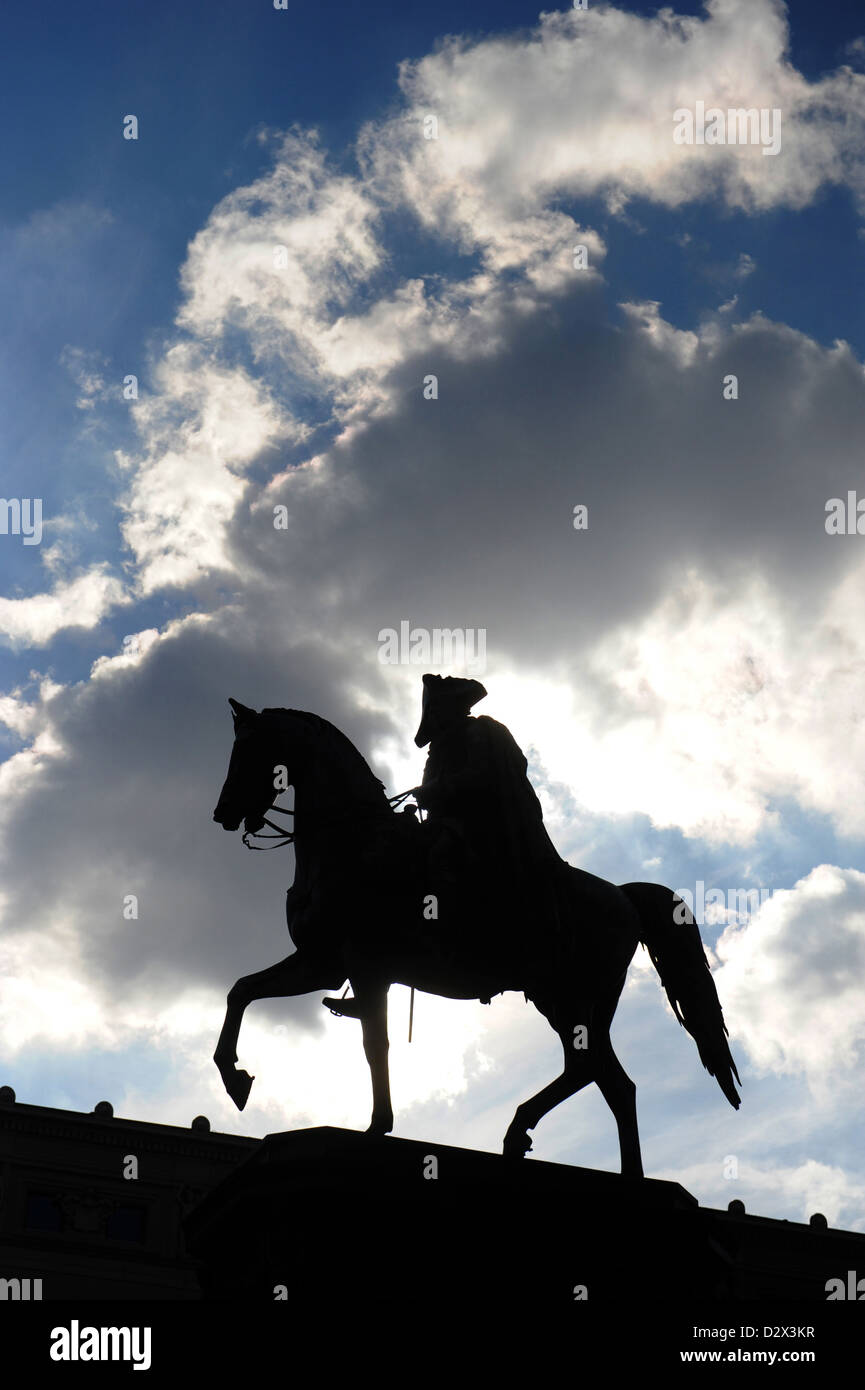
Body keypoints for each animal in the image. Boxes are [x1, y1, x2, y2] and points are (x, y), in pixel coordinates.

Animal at [209, 695, 739, 1173]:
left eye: (249, 750)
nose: (223, 814)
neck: (352, 842)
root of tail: (624, 897)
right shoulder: (321, 964)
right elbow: (241, 991)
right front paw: (235, 1079)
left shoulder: (365, 967)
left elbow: (374, 1044)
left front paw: (378, 1127)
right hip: (573, 1001)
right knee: (608, 1080)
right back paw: (619, 1171)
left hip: (564, 995)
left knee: (589, 1068)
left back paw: (521, 1130)